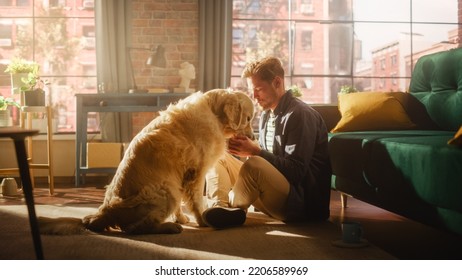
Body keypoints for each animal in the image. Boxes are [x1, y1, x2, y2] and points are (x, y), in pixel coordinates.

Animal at [38, 89, 256, 234]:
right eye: (248, 118)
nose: (253, 137)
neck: (214, 113)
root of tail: (105, 211)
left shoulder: (180, 176)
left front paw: (183, 217)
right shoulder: (196, 172)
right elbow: (196, 201)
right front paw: (202, 220)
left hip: (170, 187)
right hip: (165, 191)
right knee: (135, 228)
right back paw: (169, 227)